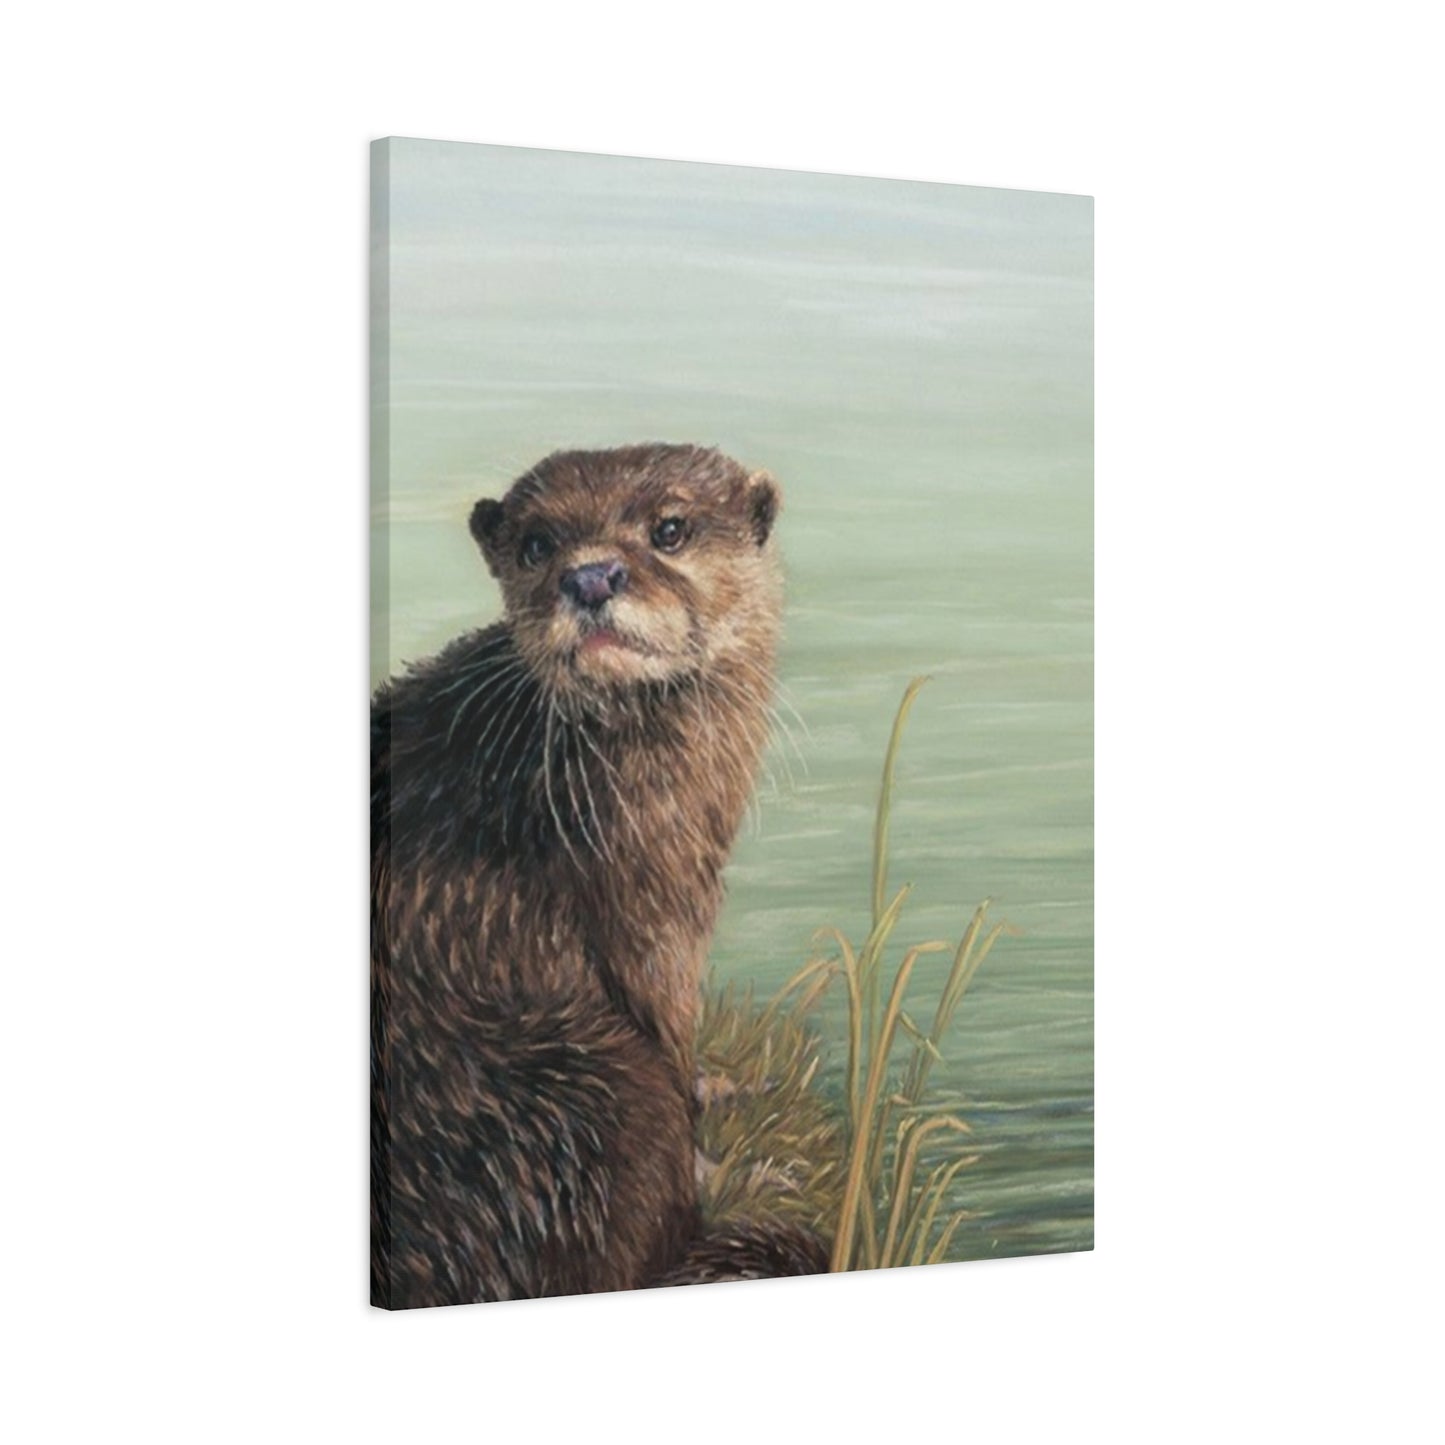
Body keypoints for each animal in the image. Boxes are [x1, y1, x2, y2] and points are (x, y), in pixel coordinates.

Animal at [371, 443, 829, 1307]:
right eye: (536, 544)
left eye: (670, 528)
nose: (589, 577)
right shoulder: (646, 899)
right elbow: (664, 1018)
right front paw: (715, 1142)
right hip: (599, 1088)